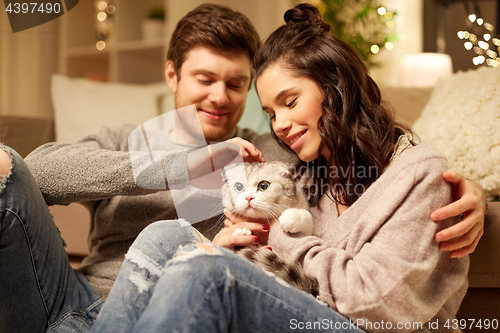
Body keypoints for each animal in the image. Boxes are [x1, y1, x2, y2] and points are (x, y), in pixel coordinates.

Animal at [221, 161, 318, 296]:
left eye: (263, 186)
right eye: (239, 187)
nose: (248, 198)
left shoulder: (308, 228)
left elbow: (306, 216)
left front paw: (290, 217)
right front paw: (242, 233)